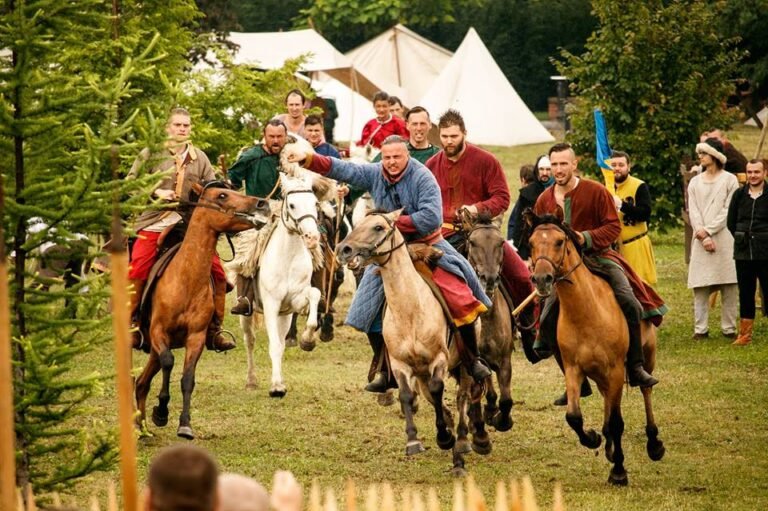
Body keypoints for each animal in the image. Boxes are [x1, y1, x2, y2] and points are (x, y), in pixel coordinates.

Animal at [134, 184, 272, 440]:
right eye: (222, 195)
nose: (262, 204)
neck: (186, 279)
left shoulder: (196, 337)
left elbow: (188, 378)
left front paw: (184, 425)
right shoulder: (159, 332)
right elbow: (169, 361)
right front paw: (162, 410)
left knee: (141, 383)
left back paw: (142, 428)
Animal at [338, 208, 492, 476]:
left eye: (378, 227)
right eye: (357, 224)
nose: (345, 249)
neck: (409, 308)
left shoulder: (438, 360)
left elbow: (438, 390)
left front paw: (445, 437)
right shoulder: (400, 364)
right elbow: (407, 396)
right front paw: (414, 441)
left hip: (463, 364)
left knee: (462, 396)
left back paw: (462, 443)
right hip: (421, 373)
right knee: (437, 400)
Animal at [520, 210, 664, 486]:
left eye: (559, 242)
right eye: (531, 243)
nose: (541, 279)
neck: (586, 311)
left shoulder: (616, 370)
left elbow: (617, 422)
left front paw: (618, 471)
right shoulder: (574, 369)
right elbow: (574, 417)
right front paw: (594, 438)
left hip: (647, 356)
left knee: (646, 391)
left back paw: (654, 443)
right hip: (600, 376)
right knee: (608, 403)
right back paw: (608, 445)